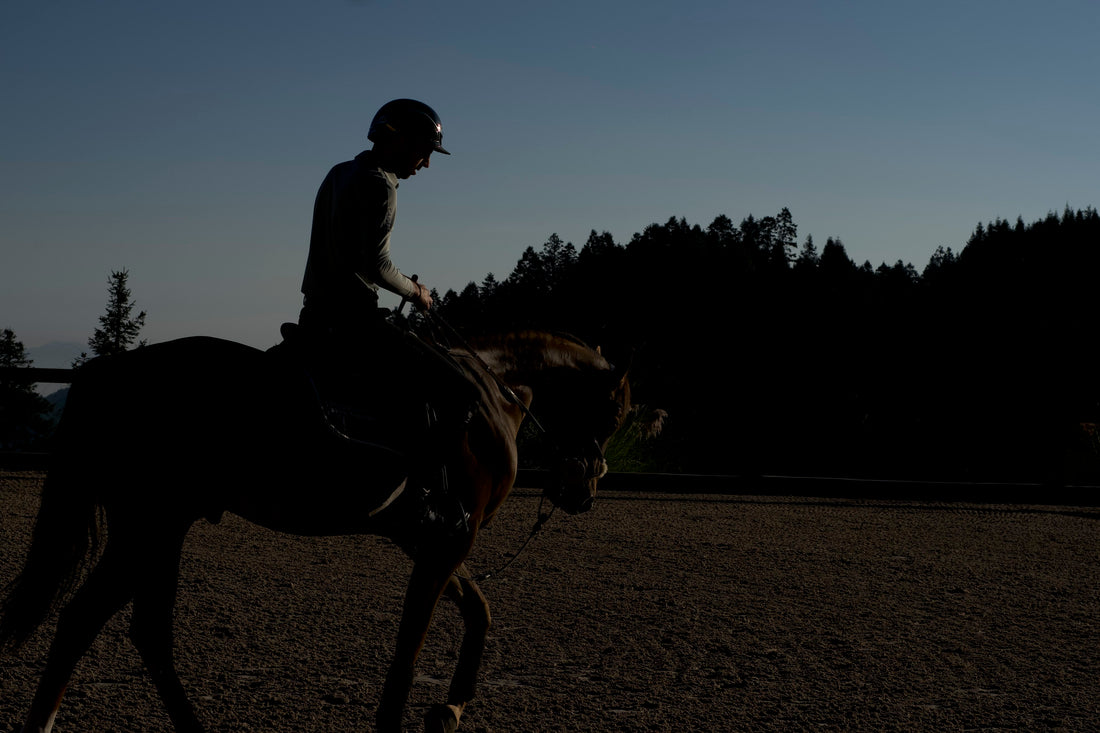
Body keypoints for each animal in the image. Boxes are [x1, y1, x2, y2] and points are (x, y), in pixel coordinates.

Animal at [0, 330, 633, 730]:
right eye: (616, 413)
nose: (584, 489)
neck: (490, 398)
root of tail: (113, 372)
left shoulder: (427, 537)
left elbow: (477, 608)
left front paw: (451, 708)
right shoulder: (450, 537)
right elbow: (410, 646)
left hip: (159, 529)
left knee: (129, 631)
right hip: (148, 528)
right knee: (94, 624)